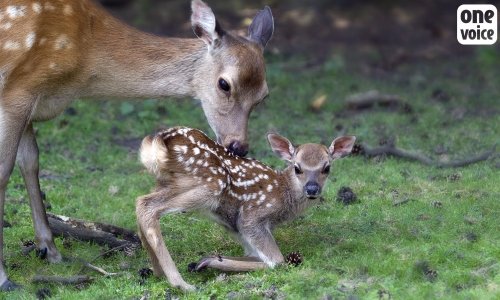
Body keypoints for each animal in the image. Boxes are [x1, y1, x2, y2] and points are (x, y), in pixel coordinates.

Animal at [0, 0, 274, 290]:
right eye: (224, 84)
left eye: (263, 95)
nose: (238, 146)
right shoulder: (16, 92)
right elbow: (4, 170)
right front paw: (5, 278)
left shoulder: (32, 103)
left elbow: (30, 161)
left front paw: (50, 250)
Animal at [137, 127, 356, 290]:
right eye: (297, 167)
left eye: (326, 168)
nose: (312, 189)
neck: (283, 196)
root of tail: (158, 141)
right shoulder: (251, 218)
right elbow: (277, 261)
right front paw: (211, 263)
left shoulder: (240, 231)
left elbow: (253, 255)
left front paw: (210, 259)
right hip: (210, 185)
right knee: (147, 207)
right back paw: (180, 283)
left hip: (166, 183)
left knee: (140, 202)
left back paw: (157, 271)